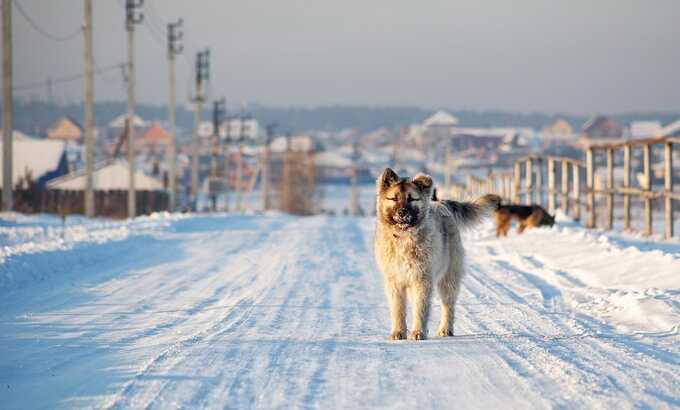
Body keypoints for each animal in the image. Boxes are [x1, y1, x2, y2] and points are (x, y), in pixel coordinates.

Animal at [372, 168, 500, 342]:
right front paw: (398, 332)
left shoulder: (423, 280)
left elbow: (421, 309)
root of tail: (441, 203)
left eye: (411, 199)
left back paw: (445, 329)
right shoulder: (395, 281)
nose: (402, 212)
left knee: (448, 305)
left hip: (448, 278)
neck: (405, 238)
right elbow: (398, 309)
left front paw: (418, 332)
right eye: (394, 198)